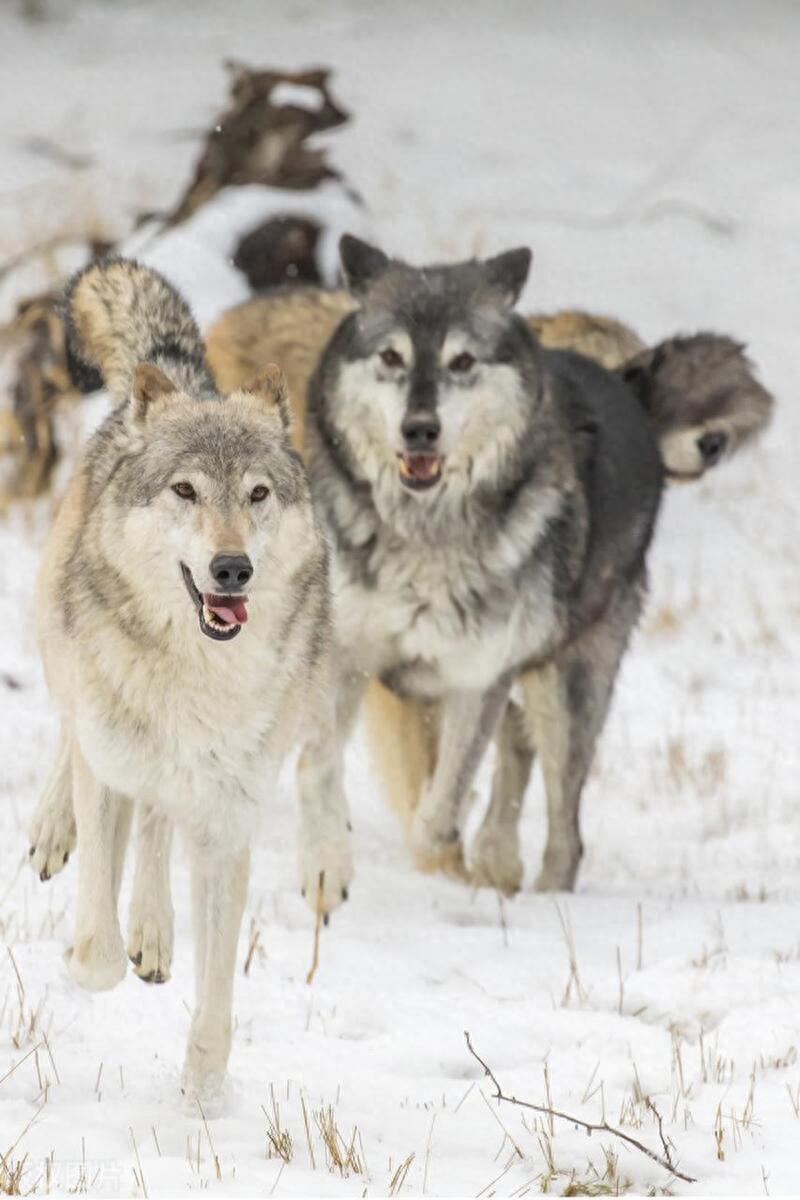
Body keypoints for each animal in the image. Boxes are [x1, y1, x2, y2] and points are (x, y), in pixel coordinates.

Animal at [206, 243, 777, 897]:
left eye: (465, 363)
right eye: (392, 357)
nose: (709, 443)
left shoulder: (472, 675)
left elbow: (443, 799)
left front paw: (456, 866)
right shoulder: (361, 662)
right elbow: (343, 768)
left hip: (567, 686)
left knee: (561, 821)